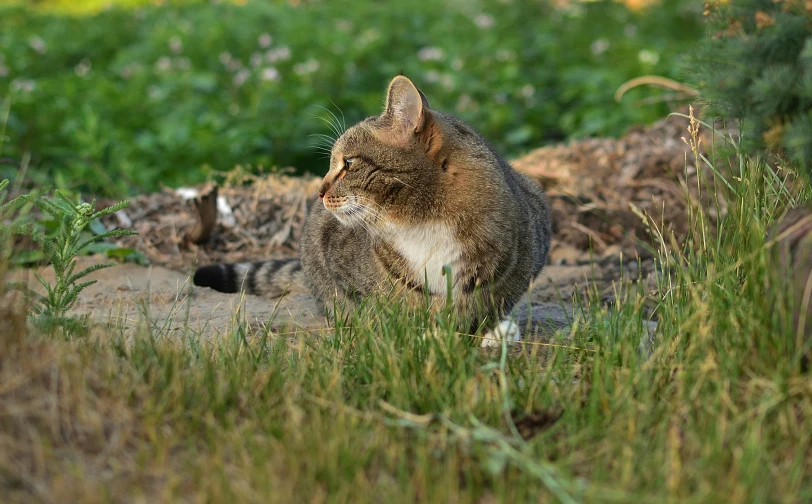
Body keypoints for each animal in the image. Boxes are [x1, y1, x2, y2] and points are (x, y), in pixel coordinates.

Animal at [196, 76, 552, 346]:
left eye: (349, 163)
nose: (319, 191)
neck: (425, 222)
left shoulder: (533, 235)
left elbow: (487, 301)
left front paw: (487, 331)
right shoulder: (335, 254)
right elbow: (380, 302)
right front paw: (412, 331)